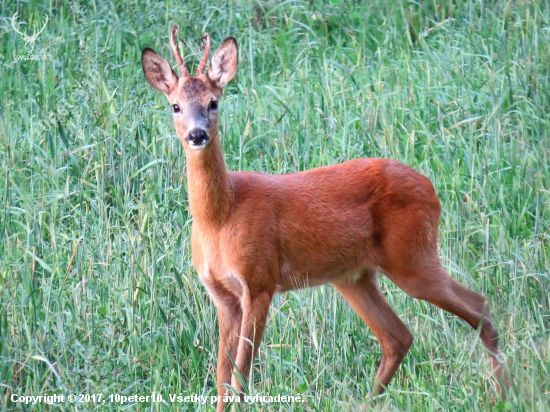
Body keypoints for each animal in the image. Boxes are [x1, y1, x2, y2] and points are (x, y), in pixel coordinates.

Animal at [141, 26, 508, 412]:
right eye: (175, 105)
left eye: (214, 102)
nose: (197, 134)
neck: (220, 216)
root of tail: (430, 188)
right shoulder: (221, 294)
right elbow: (222, 378)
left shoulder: (260, 282)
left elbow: (240, 376)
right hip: (354, 276)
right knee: (398, 336)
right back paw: (368, 402)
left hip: (412, 256)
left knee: (479, 306)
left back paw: (502, 394)